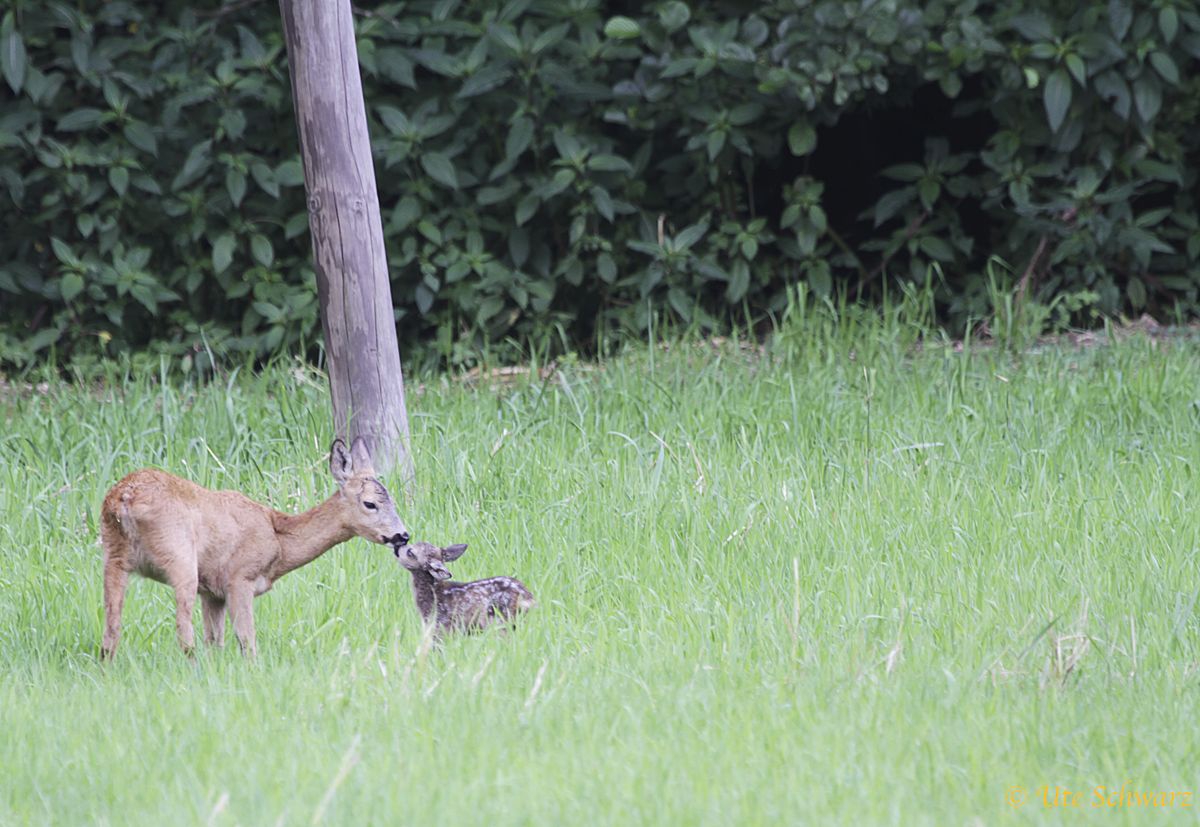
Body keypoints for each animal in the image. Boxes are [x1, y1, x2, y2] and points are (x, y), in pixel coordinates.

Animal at [99, 439, 408, 657]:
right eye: (370, 503)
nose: (402, 535)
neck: (278, 540)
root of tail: (123, 499)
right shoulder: (239, 578)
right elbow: (247, 641)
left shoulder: (212, 592)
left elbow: (215, 641)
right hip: (180, 556)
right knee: (183, 629)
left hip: (114, 556)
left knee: (111, 628)